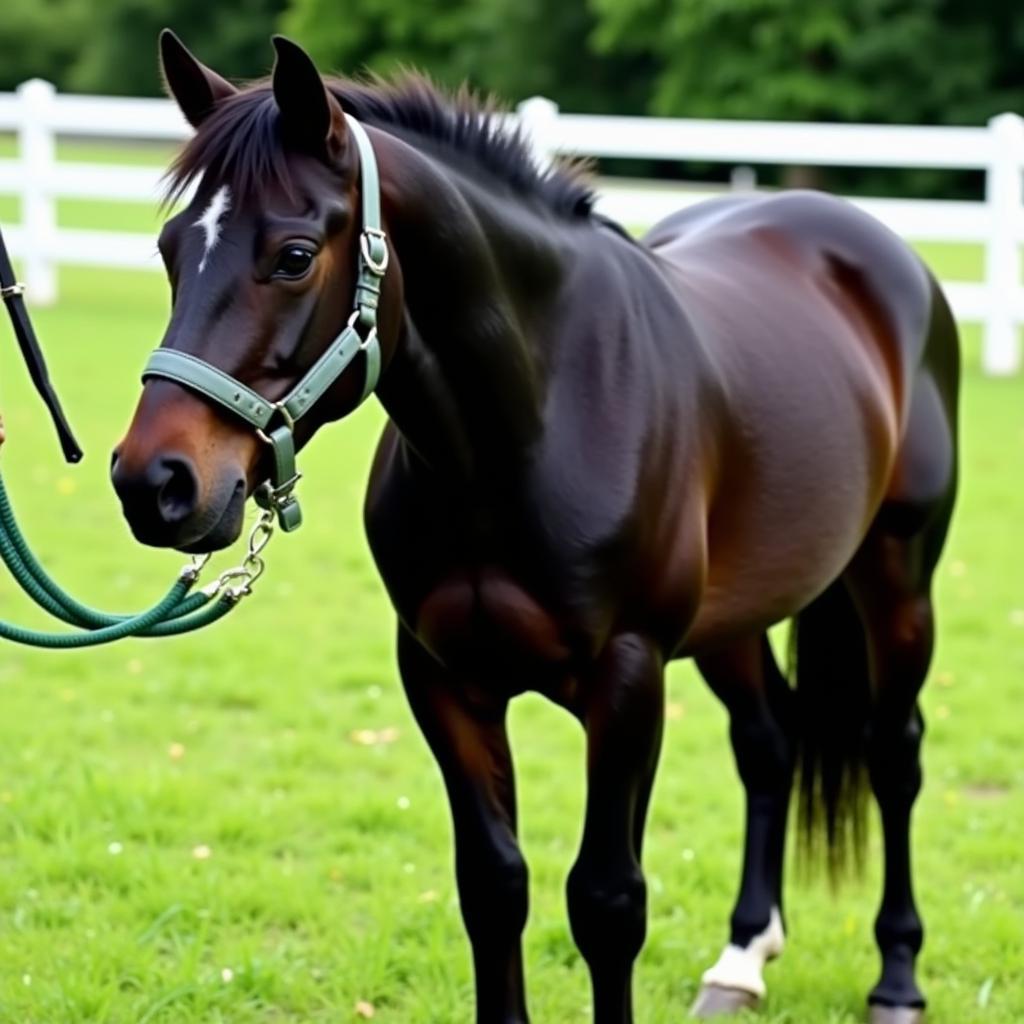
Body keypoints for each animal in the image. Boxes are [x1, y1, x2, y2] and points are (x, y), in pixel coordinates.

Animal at [112, 32, 958, 1024]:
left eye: (291, 255)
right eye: (170, 249)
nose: (154, 483)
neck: (525, 432)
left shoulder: (628, 680)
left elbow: (607, 901)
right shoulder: (444, 679)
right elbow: (492, 884)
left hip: (897, 582)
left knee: (893, 752)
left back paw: (897, 975)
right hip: (734, 620)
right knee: (769, 744)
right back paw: (741, 959)